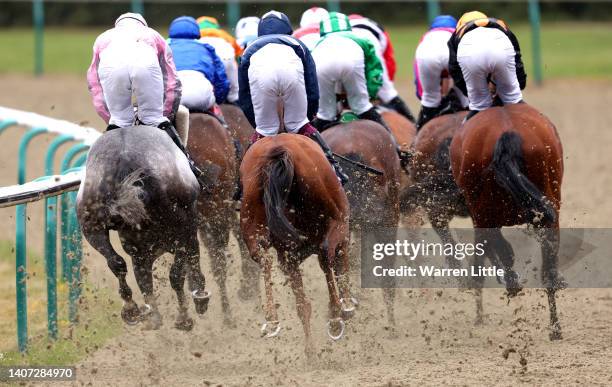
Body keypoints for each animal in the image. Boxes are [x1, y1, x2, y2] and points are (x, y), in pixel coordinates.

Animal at [76, 126, 213, 332]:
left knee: (117, 263)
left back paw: (133, 310)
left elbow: (143, 279)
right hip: (183, 227)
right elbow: (187, 264)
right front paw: (198, 294)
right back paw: (184, 316)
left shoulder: (141, 252)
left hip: (91, 227)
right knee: (175, 273)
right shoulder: (186, 231)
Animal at [239, 134, 354, 358]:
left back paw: (273, 320)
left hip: (254, 223)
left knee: (264, 259)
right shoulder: (342, 231)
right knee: (326, 255)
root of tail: (279, 150)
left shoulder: (288, 255)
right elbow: (338, 269)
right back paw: (336, 316)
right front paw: (345, 307)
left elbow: (303, 302)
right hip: (335, 220)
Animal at [450, 103, 564, 340]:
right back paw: (555, 328)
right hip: (546, 211)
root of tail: (506, 132)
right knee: (547, 267)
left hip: (485, 212)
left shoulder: (480, 217)